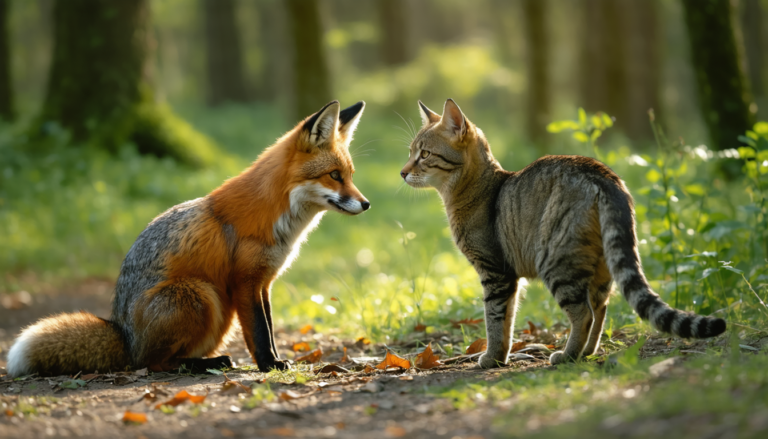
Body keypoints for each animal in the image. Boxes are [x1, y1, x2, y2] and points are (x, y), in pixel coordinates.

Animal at [6, 100, 370, 377]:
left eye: (351, 176)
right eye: (334, 176)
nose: (366, 204)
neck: (279, 218)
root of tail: (124, 333)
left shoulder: (264, 283)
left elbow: (266, 328)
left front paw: (273, 361)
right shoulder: (245, 282)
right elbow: (259, 333)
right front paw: (269, 366)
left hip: (219, 310)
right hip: (200, 294)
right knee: (150, 364)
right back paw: (200, 364)